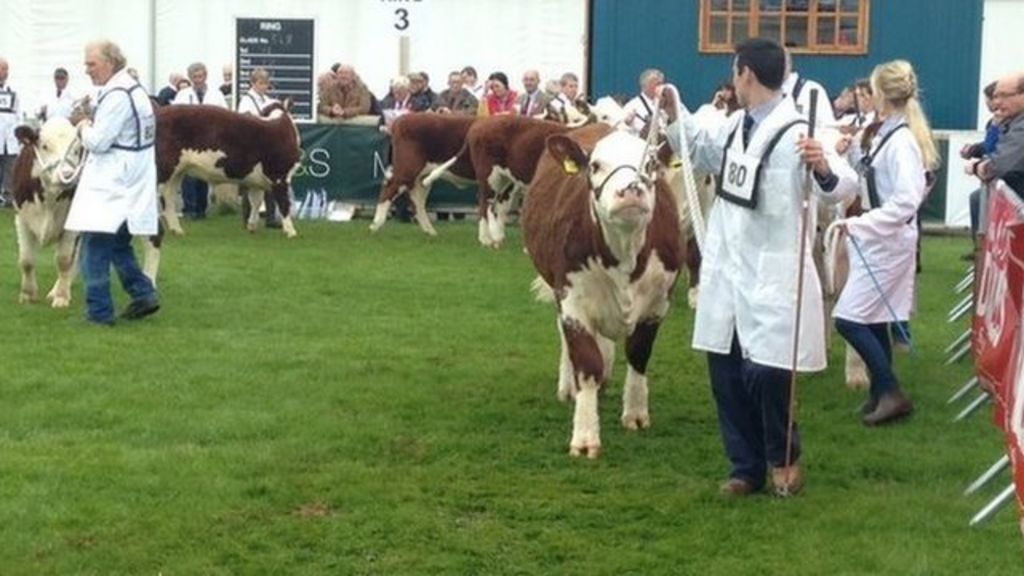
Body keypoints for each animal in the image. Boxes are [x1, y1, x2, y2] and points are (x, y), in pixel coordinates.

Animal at [11, 115, 161, 305]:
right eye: (45, 146)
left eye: (77, 149)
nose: (67, 174)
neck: (49, 200)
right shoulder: (22, 218)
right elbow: (27, 260)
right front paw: (28, 295)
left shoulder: (70, 226)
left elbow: (64, 259)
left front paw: (61, 297)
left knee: (154, 238)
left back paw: (150, 283)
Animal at [154, 103, 299, 235]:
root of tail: (160, 110)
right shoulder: (280, 176)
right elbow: (284, 203)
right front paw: (291, 231)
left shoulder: (256, 180)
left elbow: (256, 202)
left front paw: (252, 225)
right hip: (163, 168)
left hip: (177, 172)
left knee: (168, 196)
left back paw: (177, 230)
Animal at [524, 123, 684, 455]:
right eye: (595, 166)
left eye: (650, 163)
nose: (631, 189)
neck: (625, 254)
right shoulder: (571, 298)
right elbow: (586, 363)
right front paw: (585, 436)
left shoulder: (660, 301)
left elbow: (638, 354)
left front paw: (635, 414)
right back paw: (568, 386)